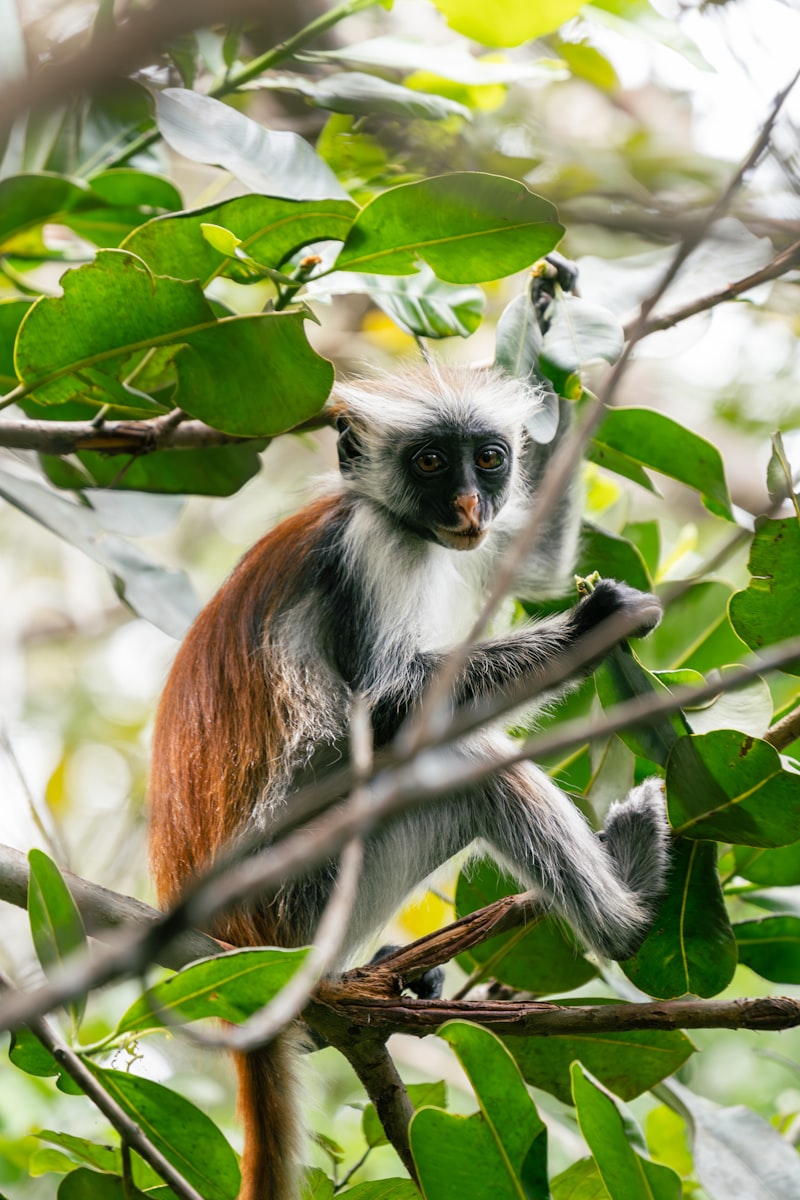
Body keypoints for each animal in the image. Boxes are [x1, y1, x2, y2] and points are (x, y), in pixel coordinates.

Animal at [149, 362, 670, 1200]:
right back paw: (628, 913)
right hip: (306, 898)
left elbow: (530, 563)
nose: (466, 504)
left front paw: (563, 364)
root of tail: (225, 944)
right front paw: (591, 626)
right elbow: (388, 709)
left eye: (488, 459)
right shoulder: (372, 550)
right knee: (466, 771)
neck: (379, 511)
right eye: (430, 463)